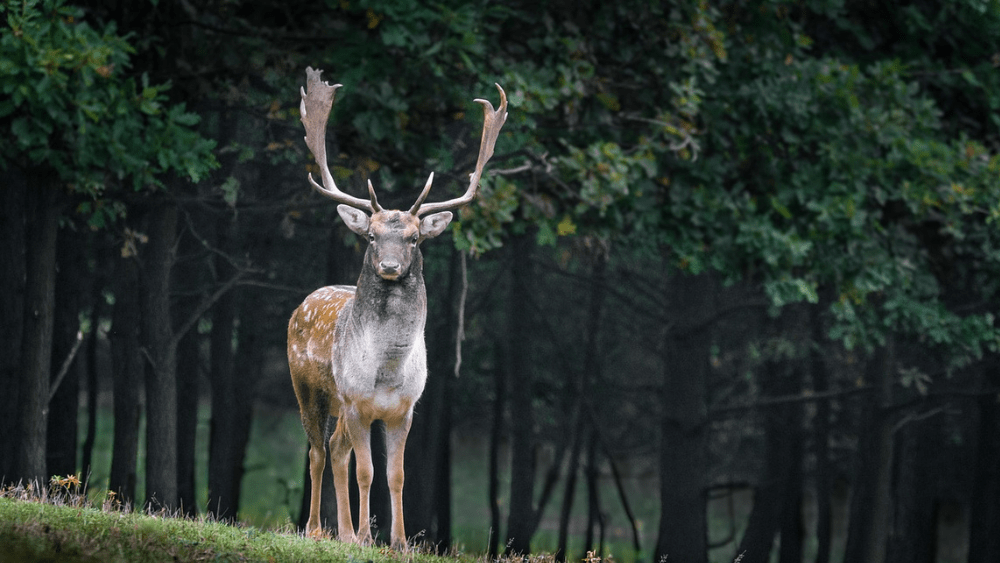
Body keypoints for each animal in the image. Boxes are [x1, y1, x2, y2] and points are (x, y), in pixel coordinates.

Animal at [288, 67, 508, 552]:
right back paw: (317, 529)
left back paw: (343, 532)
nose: (389, 266)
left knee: (335, 449)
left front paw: (400, 542)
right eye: (371, 236)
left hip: (339, 406)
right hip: (308, 388)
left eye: (414, 238)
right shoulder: (356, 403)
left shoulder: (404, 410)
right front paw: (366, 537)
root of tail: (303, 303)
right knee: (317, 451)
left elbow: (396, 475)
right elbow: (366, 472)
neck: (387, 371)